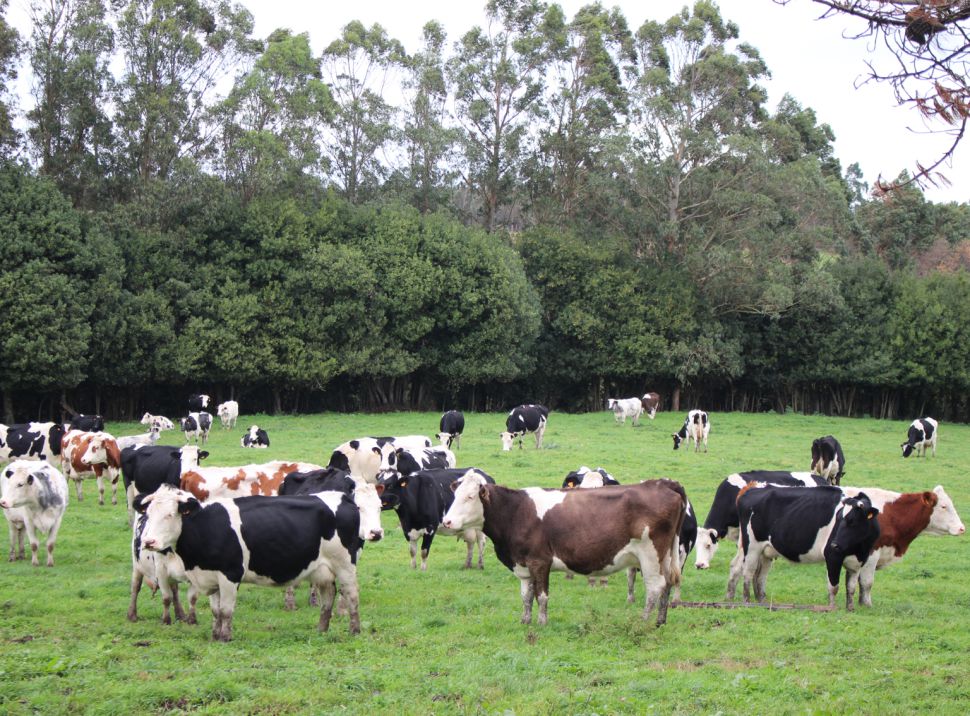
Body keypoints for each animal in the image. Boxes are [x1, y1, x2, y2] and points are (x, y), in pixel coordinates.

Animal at [134, 485, 366, 640]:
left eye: (170, 515)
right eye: (148, 514)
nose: (148, 542)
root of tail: (342, 496)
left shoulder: (230, 573)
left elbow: (226, 610)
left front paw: (225, 637)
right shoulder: (211, 577)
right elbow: (215, 610)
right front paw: (215, 635)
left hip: (344, 564)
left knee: (352, 594)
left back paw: (355, 630)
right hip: (322, 569)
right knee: (328, 596)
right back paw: (321, 630)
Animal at [442, 472, 686, 626]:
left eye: (470, 497)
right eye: (455, 495)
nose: (447, 521)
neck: (517, 512)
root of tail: (662, 483)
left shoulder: (540, 561)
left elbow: (541, 596)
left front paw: (541, 623)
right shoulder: (523, 564)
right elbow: (526, 596)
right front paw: (525, 621)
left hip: (650, 554)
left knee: (655, 587)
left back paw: (644, 621)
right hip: (665, 556)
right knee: (667, 584)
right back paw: (660, 621)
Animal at [734, 484, 880, 610]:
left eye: (852, 521)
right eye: (838, 518)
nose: (834, 544)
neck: (859, 549)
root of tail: (751, 491)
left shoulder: (858, 561)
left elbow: (851, 587)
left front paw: (850, 608)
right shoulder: (832, 555)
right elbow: (834, 586)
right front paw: (832, 608)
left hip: (766, 551)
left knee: (761, 576)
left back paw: (762, 602)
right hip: (751, 547)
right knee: (748, 572)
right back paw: (747, 601)